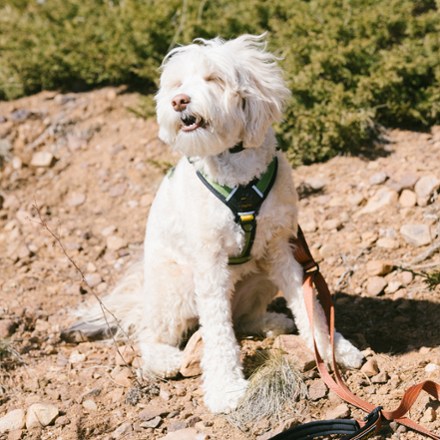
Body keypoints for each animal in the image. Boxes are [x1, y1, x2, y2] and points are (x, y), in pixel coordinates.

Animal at [76, 33, 364, 412]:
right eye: (178, 84)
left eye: (213, 79)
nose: (179, 101)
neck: (238, 172)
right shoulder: (209, 264)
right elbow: (217, 331)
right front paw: (226, 388)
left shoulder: (280, 248)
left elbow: (309, 307)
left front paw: (335, 349)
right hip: (178, 288)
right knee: (151, 334)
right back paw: (166, 359)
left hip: (260, 274)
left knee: (243, 318)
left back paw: (270, 321)